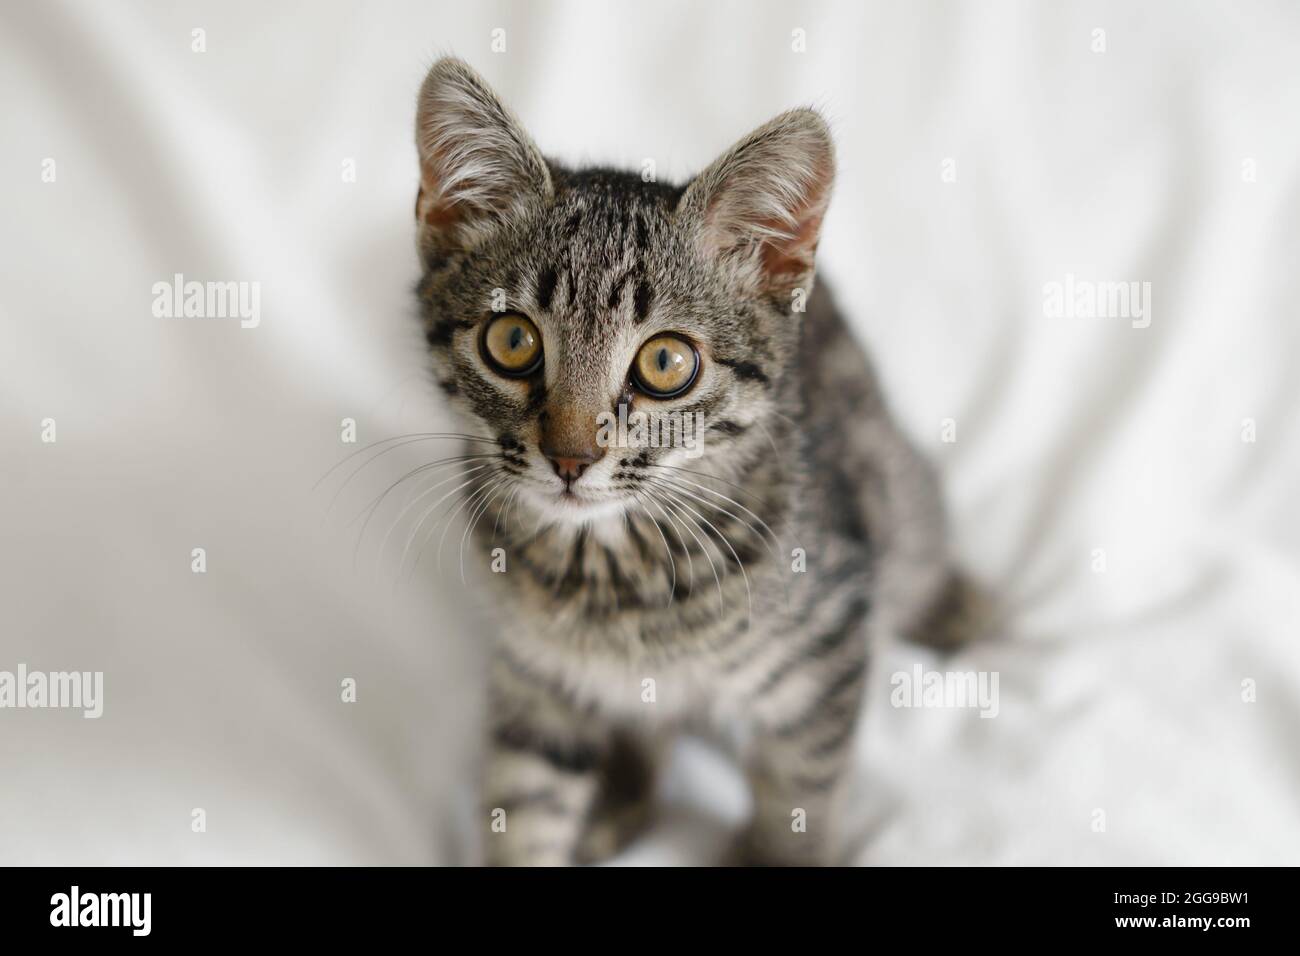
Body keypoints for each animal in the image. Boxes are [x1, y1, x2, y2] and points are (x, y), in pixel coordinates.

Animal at [410, 59, 972, 868]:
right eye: (512, 341)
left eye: (666, 363)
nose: (570, 456)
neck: (615, 569)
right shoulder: (536, 674)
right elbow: (528, 803)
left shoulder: (825, 653)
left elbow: (802, 793)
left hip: (890, 484)